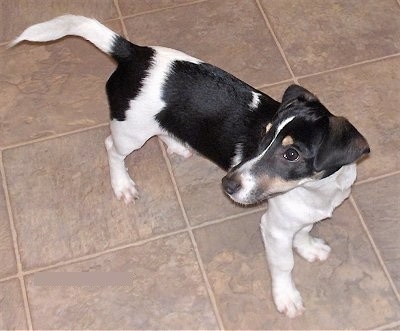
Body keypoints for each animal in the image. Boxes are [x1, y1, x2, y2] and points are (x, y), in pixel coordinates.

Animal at [11, 15, 368, 320]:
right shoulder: (274, 228)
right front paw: (287, 298)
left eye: (292, 154)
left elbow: (304, 231)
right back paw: (122, 184)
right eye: (265, 135)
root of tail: (134, 53)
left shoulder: (302, 216)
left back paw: (176, 145)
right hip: (130, 132)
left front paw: (308, 247)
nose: (227, 185)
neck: (314, 191)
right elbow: (284, 265)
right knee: (112, 148)